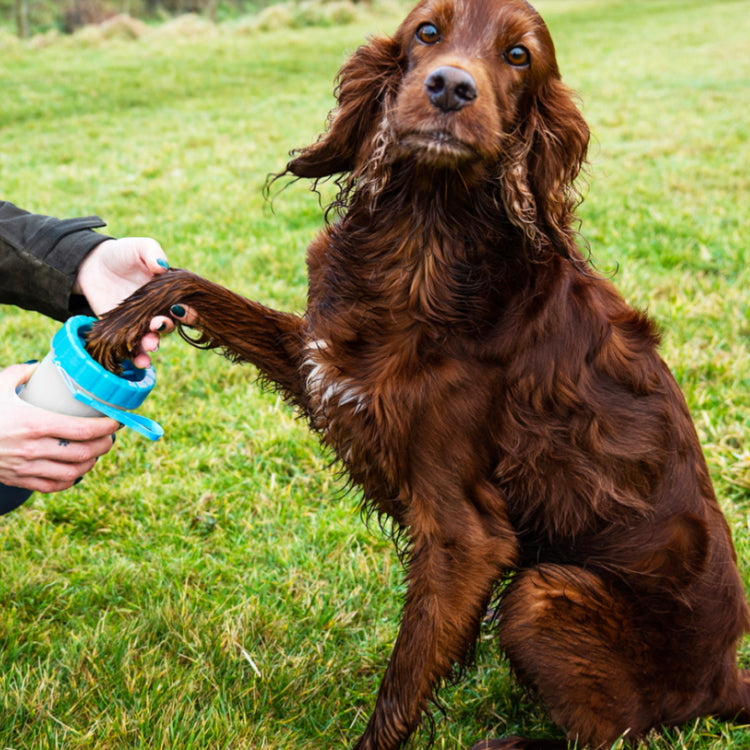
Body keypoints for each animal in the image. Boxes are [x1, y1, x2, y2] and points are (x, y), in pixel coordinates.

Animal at [88, 1, 750, 750]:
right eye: (428, 33)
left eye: (519, 56)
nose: (450, 88)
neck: (423, 243)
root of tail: (725, 676)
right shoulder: (324, 367)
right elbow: (202, 289)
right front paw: (125, 315)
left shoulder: (465, 536)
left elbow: (402, 686)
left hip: (541, 594)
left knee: (612, 731)